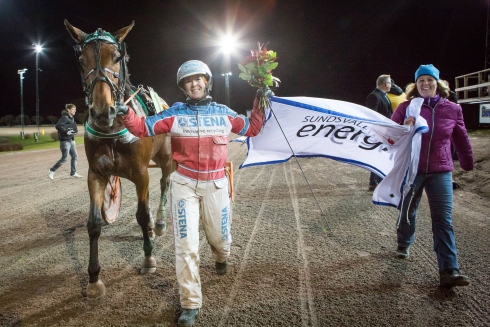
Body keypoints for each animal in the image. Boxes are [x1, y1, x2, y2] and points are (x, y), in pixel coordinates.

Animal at [64, 20, 173, 306]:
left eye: (116, 57)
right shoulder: (97, 174)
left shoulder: (141, 173)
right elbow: (93, 224)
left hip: (166, 158)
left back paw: (159, 223)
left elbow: (141, 214)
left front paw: (148, 257)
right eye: (82, 60)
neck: (112, 128)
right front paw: (94, 279)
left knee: (165, 183)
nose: (103, 111)